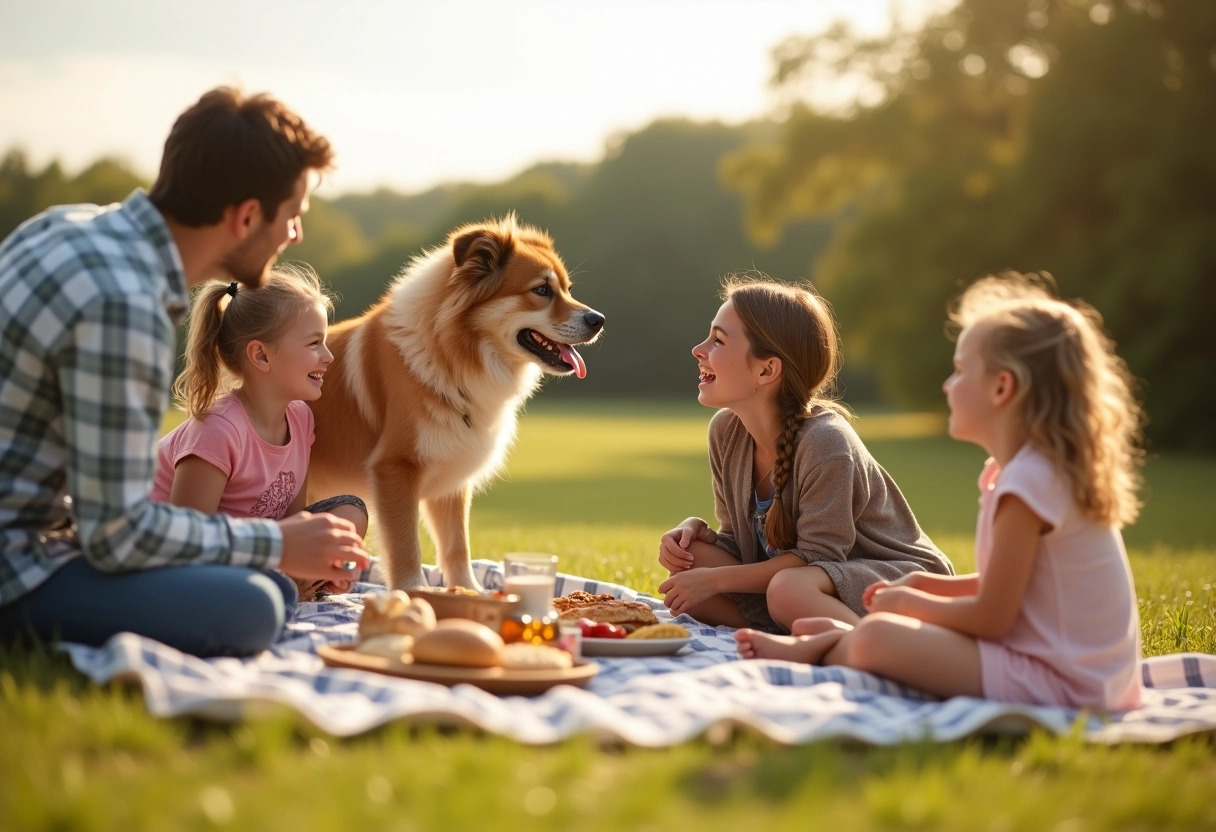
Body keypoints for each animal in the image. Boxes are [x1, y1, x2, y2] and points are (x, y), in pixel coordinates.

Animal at [308, 216, 603, 591]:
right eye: (541, 290)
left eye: (567, 289)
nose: (599, 320)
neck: (451, 357)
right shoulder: (395, 468)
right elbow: (406, 547)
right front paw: (414, 593)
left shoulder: (451, 477)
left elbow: (456, 546)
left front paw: (469, 591)